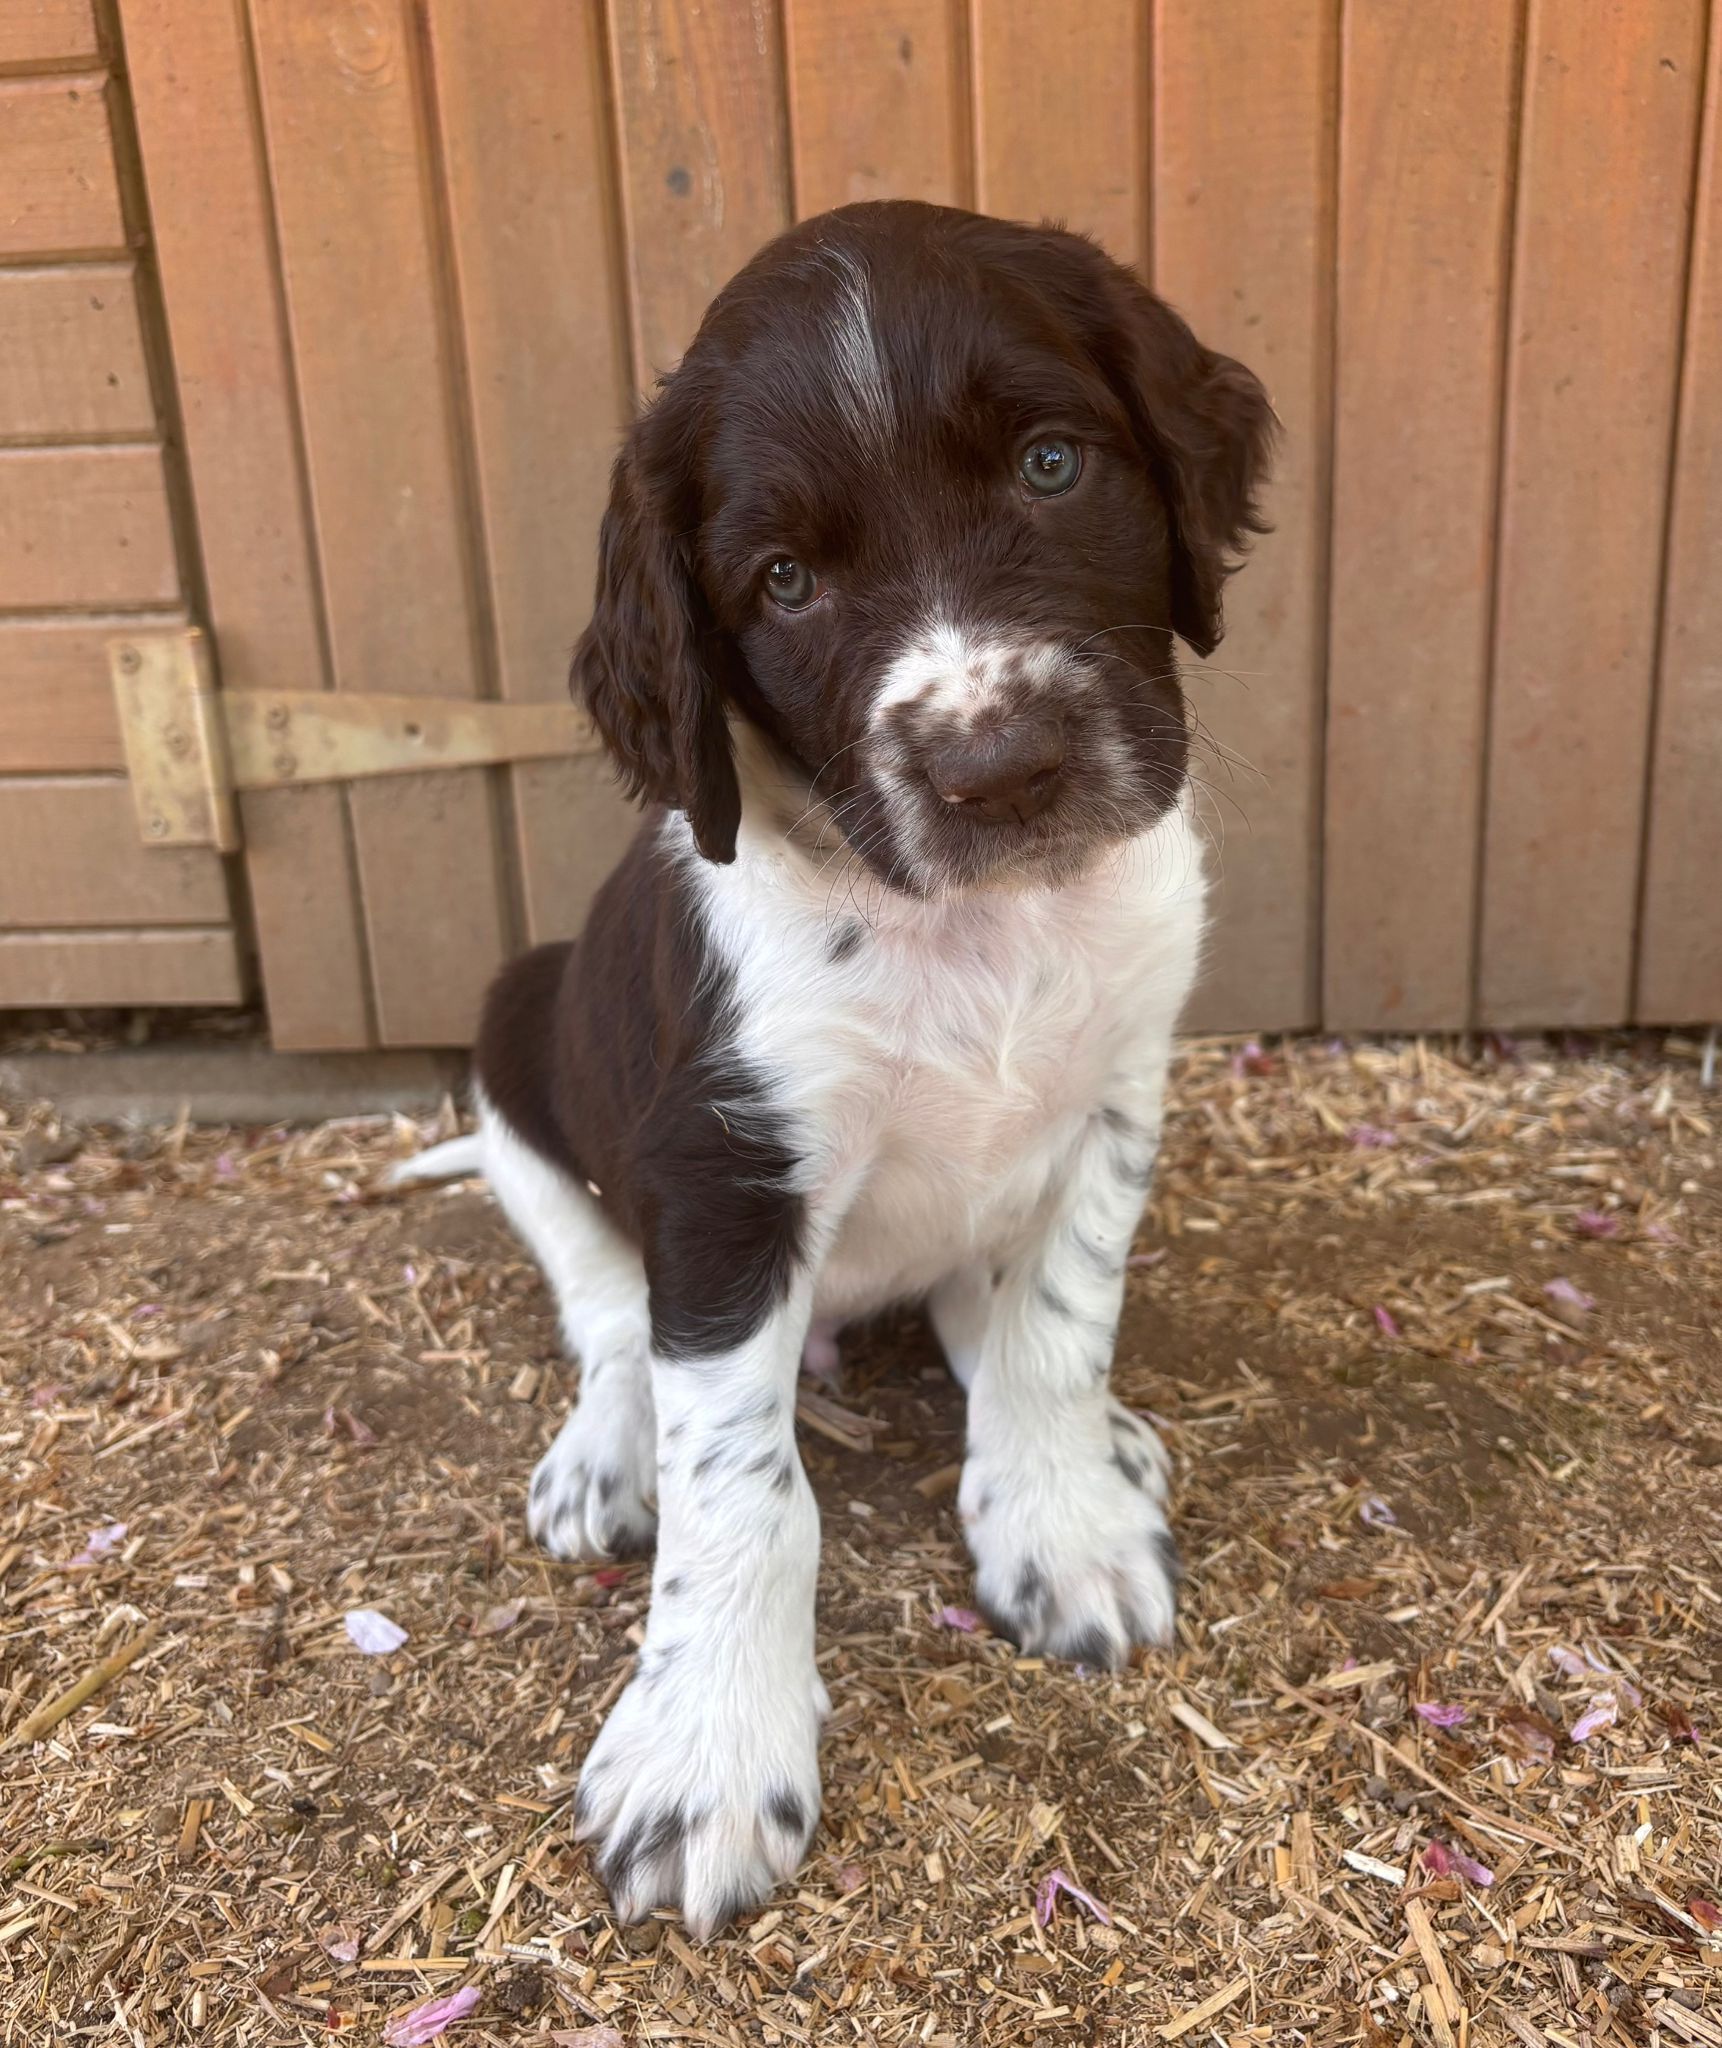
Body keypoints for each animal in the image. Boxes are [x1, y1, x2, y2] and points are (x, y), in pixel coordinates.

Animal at [392, 199, 1273, 1936]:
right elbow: (743, 1488)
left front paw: (1061, 1520)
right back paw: (604, 1454)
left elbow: (1056, 1330)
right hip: (518, 1033)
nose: (999, 769)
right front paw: (706, 1752)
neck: (978, 929)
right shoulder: (723, 1175)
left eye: (1053, 466)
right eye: (784, 582)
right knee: (610, 1321)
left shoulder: (1117, 1089)